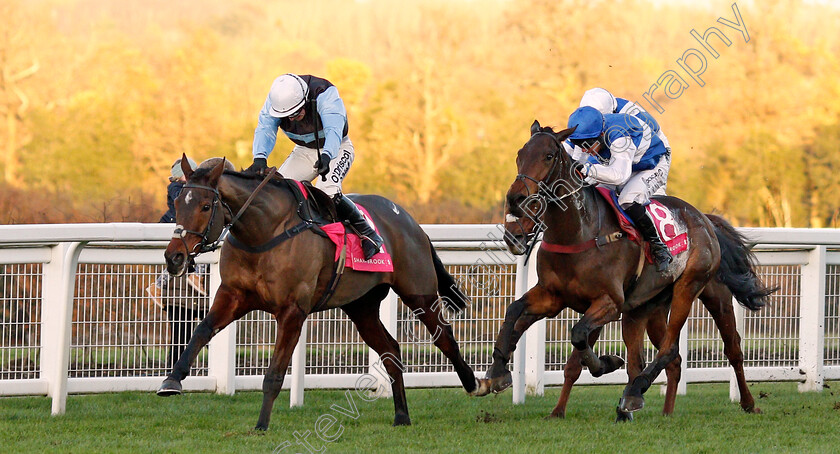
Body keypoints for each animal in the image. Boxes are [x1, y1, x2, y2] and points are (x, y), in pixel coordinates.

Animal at [153, 158, 476, 430]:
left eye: (206, 206)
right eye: (178, 202)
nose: (174, 257)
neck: (264, 232)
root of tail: (412, 222)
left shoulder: (292, 311)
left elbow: (274, 373)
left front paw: (261, 425)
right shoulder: (233, 295)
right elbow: (201, 331)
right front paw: (171, 380)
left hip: (418, 292)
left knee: (444, 337)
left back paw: (474, 383)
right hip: (361, 307)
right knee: (391, 350)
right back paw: (401, 416)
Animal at [480, 121, 776, 418]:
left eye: (548, 156)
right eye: (519, 155)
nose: (515, 199)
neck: (580, 233)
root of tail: (704, 219)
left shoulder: (608, 302)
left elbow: (578, 337)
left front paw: (607, 363)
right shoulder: (553, 296)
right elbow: (515, 311)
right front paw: (499, 373)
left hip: (699, 289)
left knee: (711, 348)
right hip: (646, 308)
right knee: (665, 357)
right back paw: (656, 409)